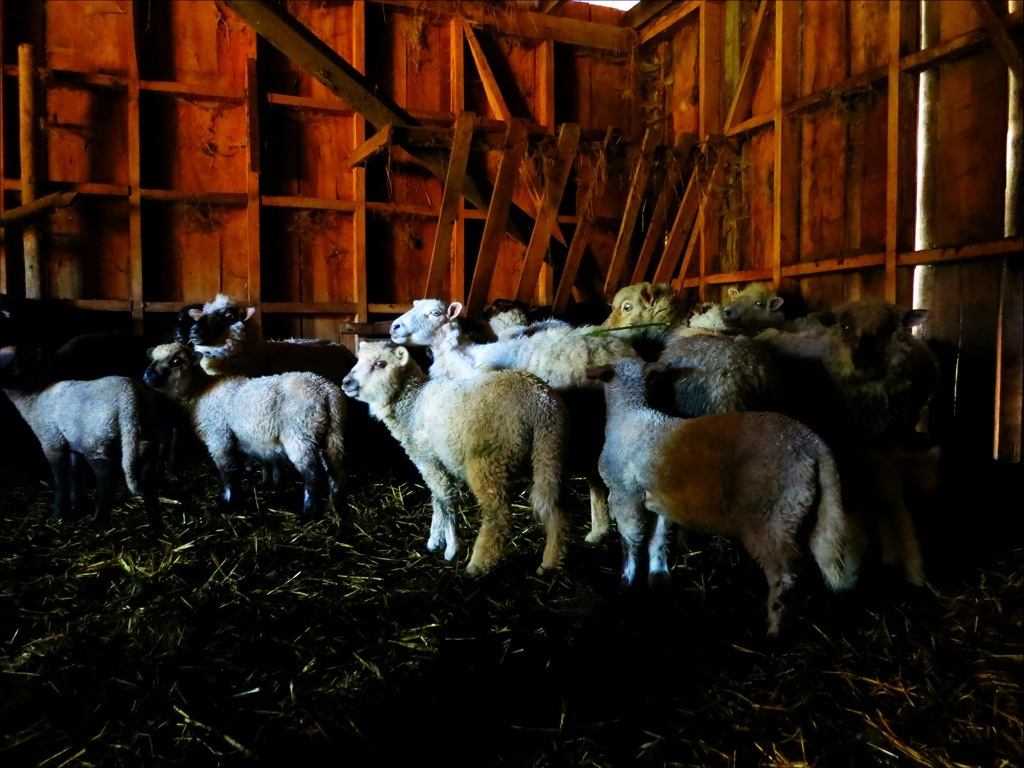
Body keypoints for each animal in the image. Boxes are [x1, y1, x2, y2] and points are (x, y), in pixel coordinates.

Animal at [0, 345, 162, 532]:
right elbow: (74, 474)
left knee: (106, 482)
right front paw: (77, 506)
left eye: (17, 359)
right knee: (149, 477)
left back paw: (99, 522)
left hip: (97, 439)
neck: (35, 396)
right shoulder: (73, 444)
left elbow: (60, 478)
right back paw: (153, 522)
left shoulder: (51, 442)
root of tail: (129, 401)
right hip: (146, 435)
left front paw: (59, 513)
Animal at [143, 342, 347, 517]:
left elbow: (227, 471)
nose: (146, 376)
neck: (200, 391)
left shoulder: (219, 437)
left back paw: (309, 509)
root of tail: (325, 391)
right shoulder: (236, 439)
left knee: (312, 475)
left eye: (176, 361)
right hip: (333, 433)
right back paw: (335, 505)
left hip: (299, 434)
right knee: (335, 470)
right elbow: (237, 469)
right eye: (152, 358)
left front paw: (228, 501)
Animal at [340, 340, 568, 576]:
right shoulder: (443, 461)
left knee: (498, 515)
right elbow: (437, 499)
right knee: (554, 506)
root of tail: (539, 405)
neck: (413, 403)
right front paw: (435, 540)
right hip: (550, 452)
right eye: (358, 359)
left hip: (489, 460)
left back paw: (478, 564)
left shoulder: (427, 460)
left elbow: (445, 498)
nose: (346, 382)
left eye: (380, 363)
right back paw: (550, 561)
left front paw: (450, 549)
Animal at [587, 357, 867, 637]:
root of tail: (816, 445)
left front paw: (626, 583)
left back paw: (775, 629)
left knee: (786, 577)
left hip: (773, 516)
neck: (630, 416)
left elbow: (631, 539)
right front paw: (658, 578)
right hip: (808, 511)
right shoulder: (656, 499)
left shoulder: (624, 494)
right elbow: (658, 539)